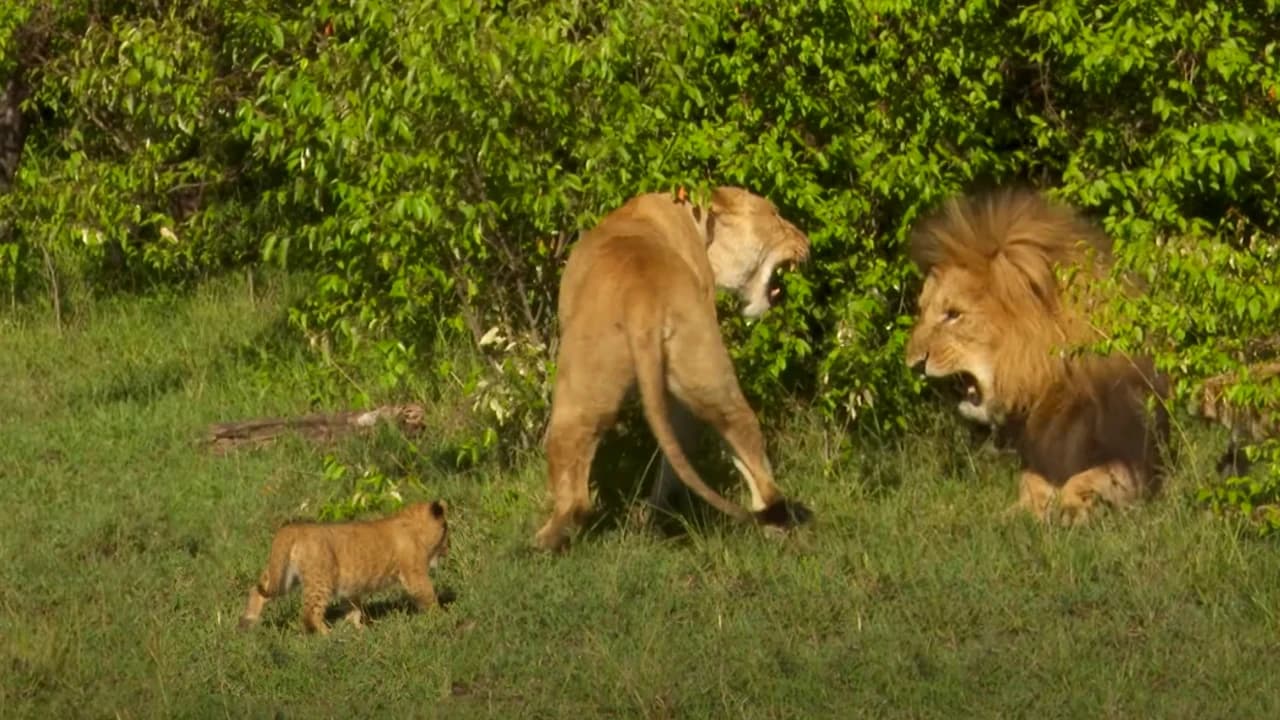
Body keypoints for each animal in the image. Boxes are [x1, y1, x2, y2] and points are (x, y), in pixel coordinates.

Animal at [240, 499, 450, 632]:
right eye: (447, 531)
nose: (449, 548)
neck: (413, 525)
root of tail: (294, 528)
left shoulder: (350, 587)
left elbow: (353, 609)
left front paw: (359, 630)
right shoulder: (414, 574)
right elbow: (428, 594)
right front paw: (441, 616)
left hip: (283, 577)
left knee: (257, 590)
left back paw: (248, 622)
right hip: (320, 581)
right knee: (310, 613)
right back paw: (327, 635)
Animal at [540, 184, 808, 548]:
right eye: (776, 215)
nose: (806, 241)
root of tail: (641, 299)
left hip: (578, 384)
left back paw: (540, 543)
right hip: (701, 366)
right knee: (740, 433)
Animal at [901, 188, 1172, 525]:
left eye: (953, 315)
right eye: (922, 310)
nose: (912, 363)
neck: (1055, 384)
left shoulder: (1140, 459)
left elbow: (1095, 476)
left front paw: (1072, 508)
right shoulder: (1037, 459)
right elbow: (1030, 482)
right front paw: (1022, 510)